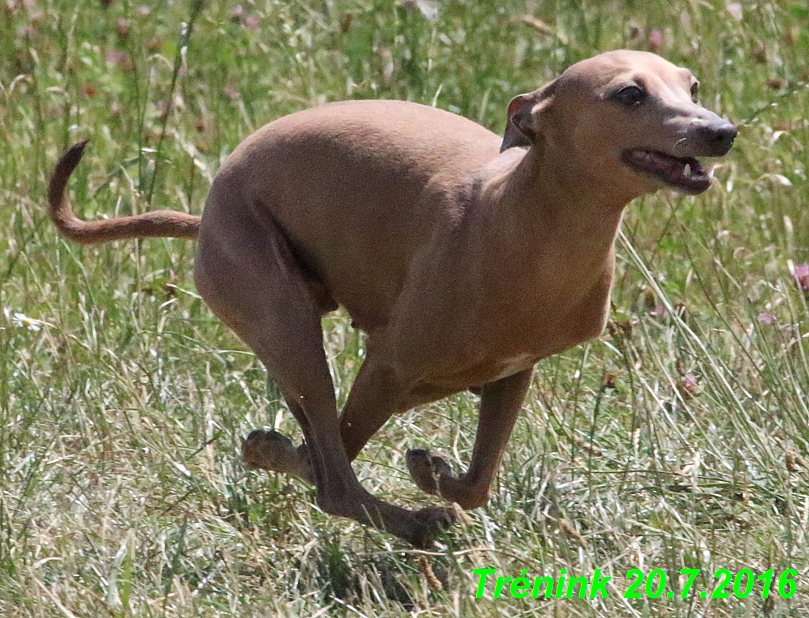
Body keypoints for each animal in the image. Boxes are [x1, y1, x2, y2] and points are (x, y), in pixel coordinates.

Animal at [47, 53, 736, 544]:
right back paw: (400, 517)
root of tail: (207, 214)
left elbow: (476, 482)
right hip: (285, 318)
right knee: (332, 474)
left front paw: (434, 472)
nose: (723, 132)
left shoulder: (512, 372)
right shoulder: (388, 364)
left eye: (693, 86)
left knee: (323, 447)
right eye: (629, 93)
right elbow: (330, 462)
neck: (526, 221)